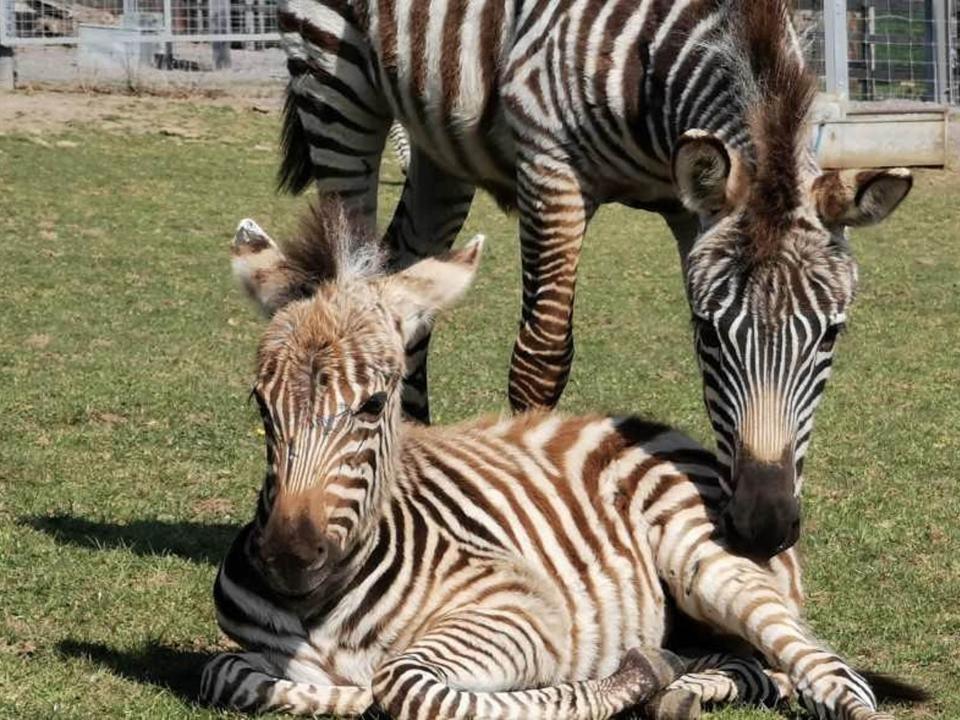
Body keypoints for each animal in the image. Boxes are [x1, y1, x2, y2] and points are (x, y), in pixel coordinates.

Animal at [199, 207, 912, 720]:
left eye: (373, 405)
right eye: (260, 403)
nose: (288, 559)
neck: (323, 606)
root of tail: (664, 432)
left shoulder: (523, 613)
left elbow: (404, 685)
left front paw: (629, 678)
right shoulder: (251, 658)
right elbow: (225, 673)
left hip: (707, 564)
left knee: (830, 675)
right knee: (761, 669)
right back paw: (683, 688)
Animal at [274, 0, 912, 556]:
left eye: (832, 334)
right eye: (709, 331)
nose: (763, 526)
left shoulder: (689, 209)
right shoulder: (550, 170)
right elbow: (541, 360)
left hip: (439, 140)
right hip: (333, 82)